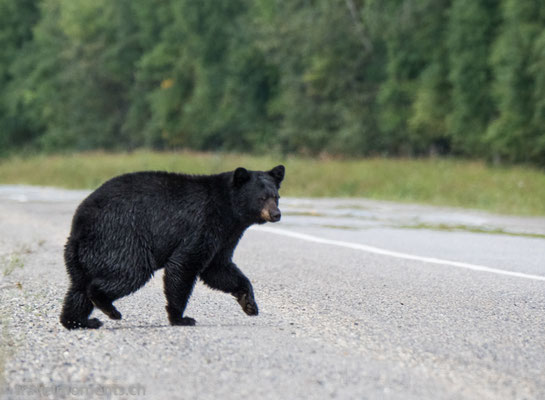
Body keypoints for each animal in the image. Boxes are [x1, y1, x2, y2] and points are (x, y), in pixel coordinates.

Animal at [59, 165, 284, 328]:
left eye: (276, 196)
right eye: (262, 198)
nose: (276, 214)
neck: (229, 212)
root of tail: (78, 226)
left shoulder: (225, 238)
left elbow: (218, 269)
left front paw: (249, 303)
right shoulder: (202, 224)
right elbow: (184, 264)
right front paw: (180, 318)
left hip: (83, 256)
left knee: (78, 288)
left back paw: (79, 321)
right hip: (120, 238)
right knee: (128, 274)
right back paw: (108, 308)